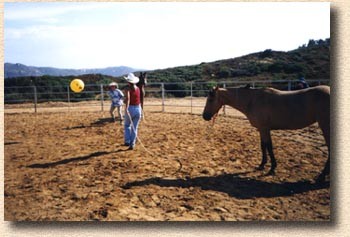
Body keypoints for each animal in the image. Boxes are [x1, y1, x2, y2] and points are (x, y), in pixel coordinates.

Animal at [201, 85, 330, 183]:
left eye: (210, 99)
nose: (205, 116)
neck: (252, 100)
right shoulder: (261, 129)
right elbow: (263, 146)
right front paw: (262, 165)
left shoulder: (265, 129)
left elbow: (269, 146)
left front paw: (272, 168)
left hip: (325, 126)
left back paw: (322, 175)